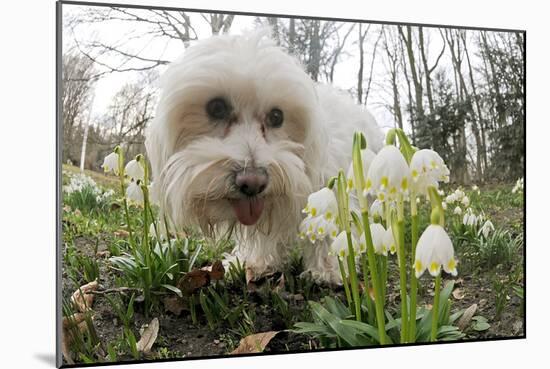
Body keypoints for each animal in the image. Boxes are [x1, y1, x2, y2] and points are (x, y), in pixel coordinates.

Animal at [147, 31, 384, 282]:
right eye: (217, 108)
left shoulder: (330, 187)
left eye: (277, 116)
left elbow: (327, 230)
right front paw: (255, 263)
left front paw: (329, 269)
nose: (253, 182)